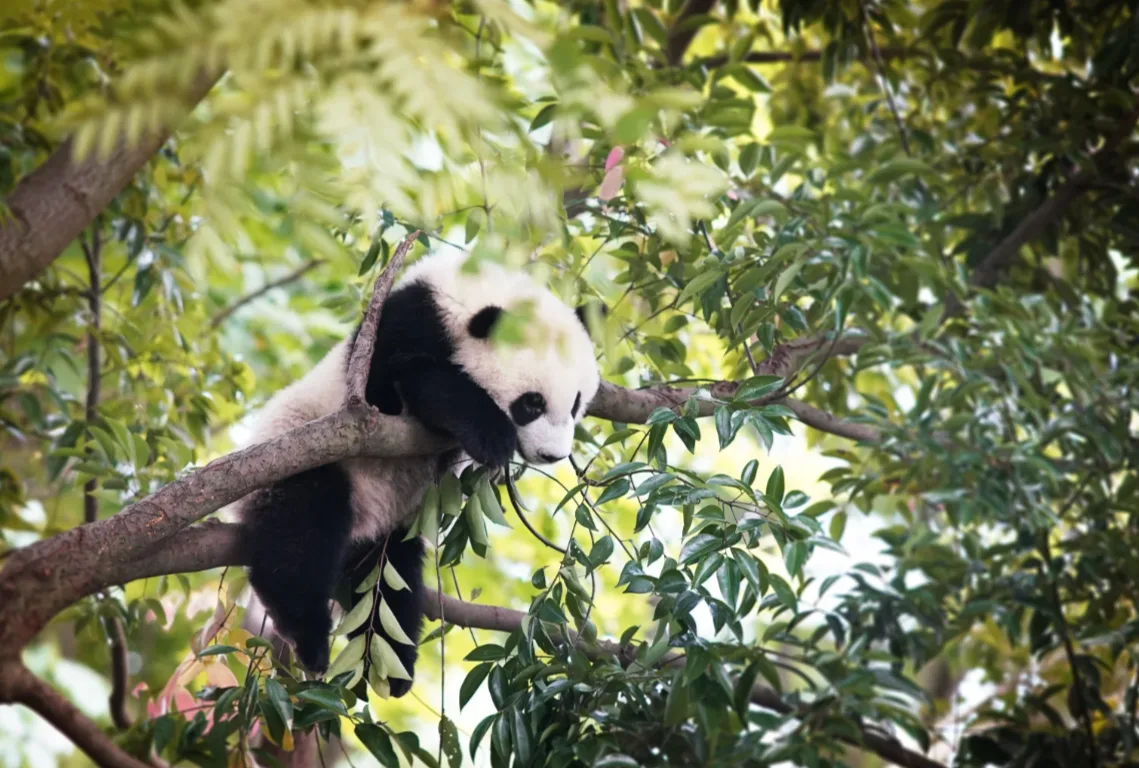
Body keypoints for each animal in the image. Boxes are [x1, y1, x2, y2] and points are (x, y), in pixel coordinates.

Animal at [237, 251, 601, 696]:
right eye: (531, 403)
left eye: (576, 403)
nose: (552, 454)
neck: (458, 301)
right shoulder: (393, 338)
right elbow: (396, 388)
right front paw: (490, 432)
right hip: (298, 459)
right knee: (300, 534)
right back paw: (310, 639)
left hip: (388, 542)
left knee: (391, 587)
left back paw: (389, 667)